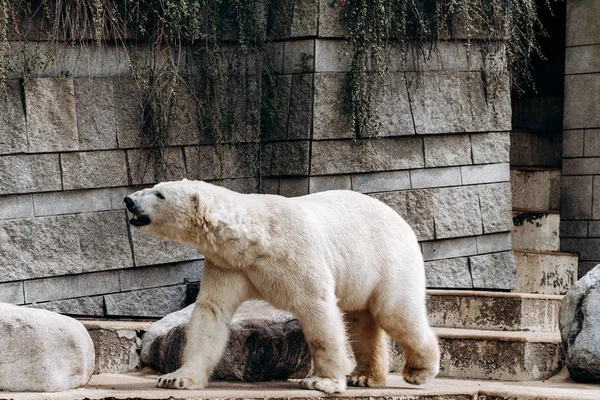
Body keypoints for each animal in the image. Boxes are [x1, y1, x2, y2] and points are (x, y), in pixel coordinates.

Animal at [124, 180, 438, 392]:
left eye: (159, 194)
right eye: (155, 186)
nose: (128, 199)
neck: (252, 240)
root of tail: (401, 219)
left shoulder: (295, 254)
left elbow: (318, 308)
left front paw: (321, 381)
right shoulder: (228, 265)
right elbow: (211, 312)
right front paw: (176, 377)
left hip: (386, 260)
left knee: (395, 313)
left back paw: (418, 371)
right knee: (362, 319)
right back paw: (364, 375)